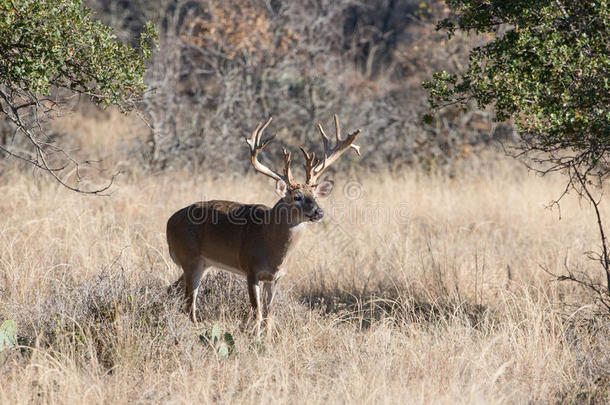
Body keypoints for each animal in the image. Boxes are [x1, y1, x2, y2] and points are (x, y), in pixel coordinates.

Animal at [164, 114, 358, 334]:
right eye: (297, 197)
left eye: (315, 195)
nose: (319, 212)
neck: (271, 247)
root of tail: (169, 221)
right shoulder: (251, 269)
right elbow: (256, 313)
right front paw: (254, 338)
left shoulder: (275, 278)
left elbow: (269, 315)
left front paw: (267, 338)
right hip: (190, 258)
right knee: (189, 302)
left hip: (204, 263)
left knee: (176, 291)